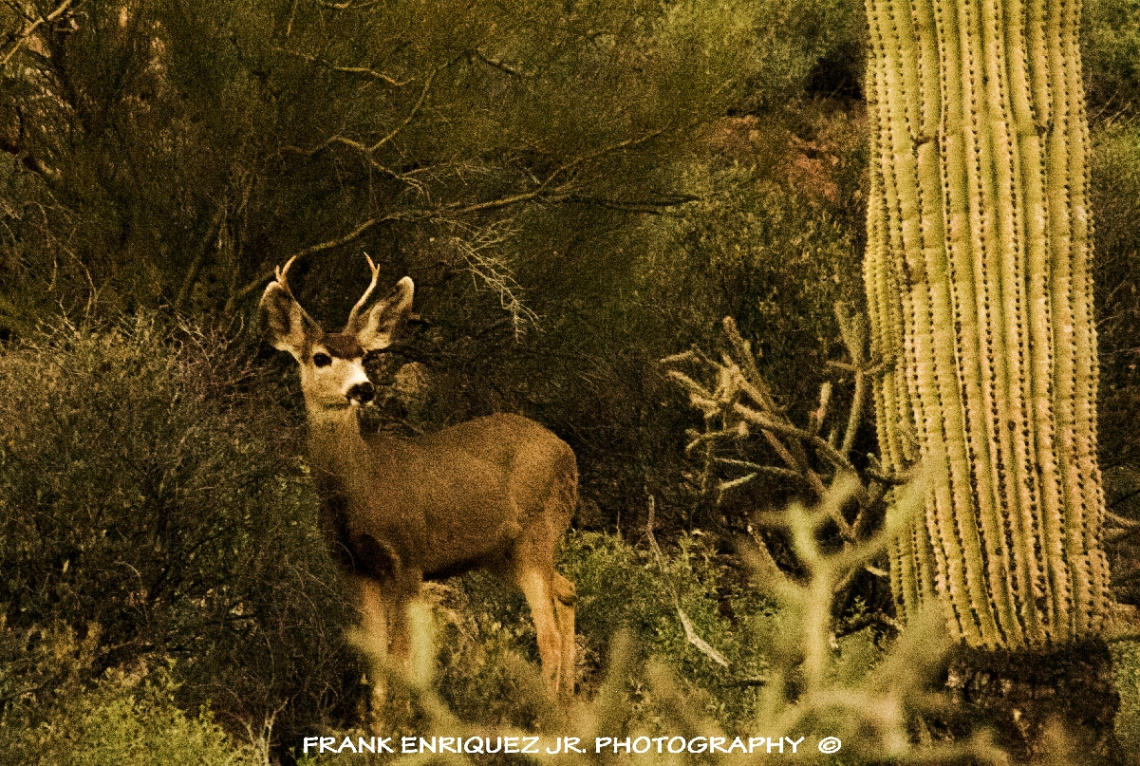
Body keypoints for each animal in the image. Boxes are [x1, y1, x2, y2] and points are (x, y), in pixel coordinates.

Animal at [260, 255, 577, 706]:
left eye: (363, 355)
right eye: (320, 357)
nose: (364, 388)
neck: (361, 487)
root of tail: (568, 452)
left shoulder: (408, 557)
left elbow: (403, 658)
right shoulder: (355, 568)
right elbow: (376, 664)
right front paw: (376, 722)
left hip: (538, 531)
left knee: (547, 634)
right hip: (503, 553)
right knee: (567, 591)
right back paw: (571, 700)